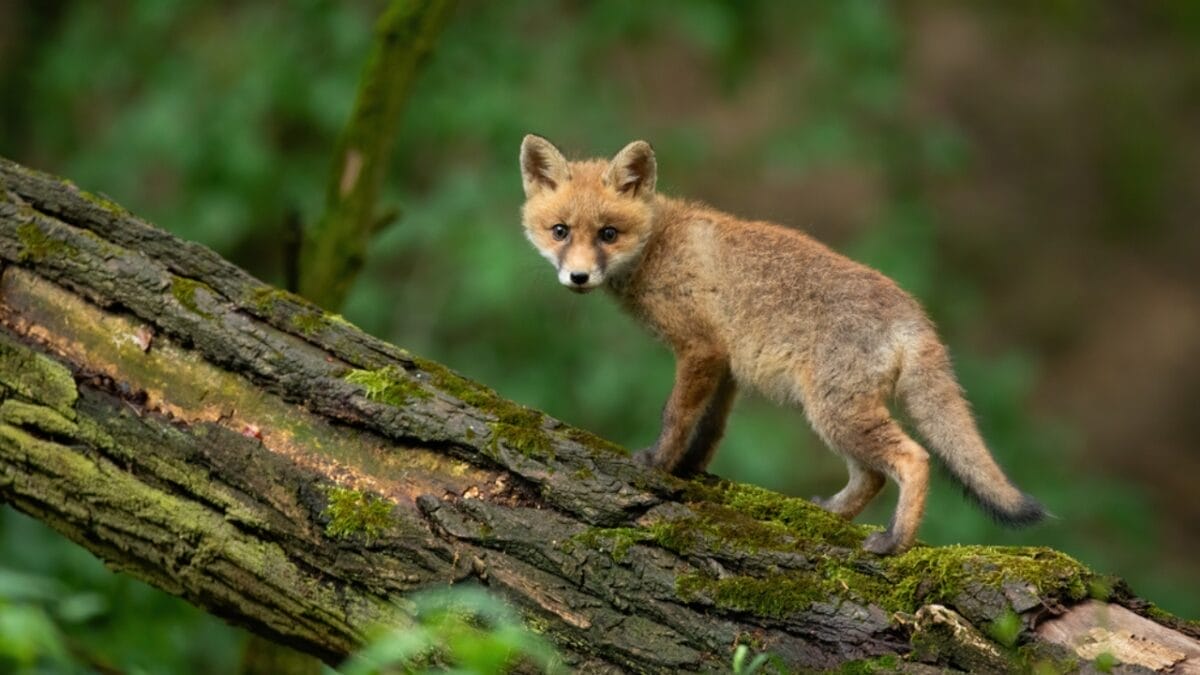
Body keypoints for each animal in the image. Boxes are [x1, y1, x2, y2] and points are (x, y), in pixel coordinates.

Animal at [518, 134, 1046, 554]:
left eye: (608, 234)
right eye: (560, 231)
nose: (578, 277)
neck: (660, 246)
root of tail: (914, 313)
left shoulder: (700, 349)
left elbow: (676, 416)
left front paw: (658, 466)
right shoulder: (726, 365)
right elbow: (710, 431)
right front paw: (688, 470)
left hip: (835, 412)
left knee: (913, 458)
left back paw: (895, 542)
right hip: (838, 414)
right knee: (872, 475)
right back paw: (834, 513)